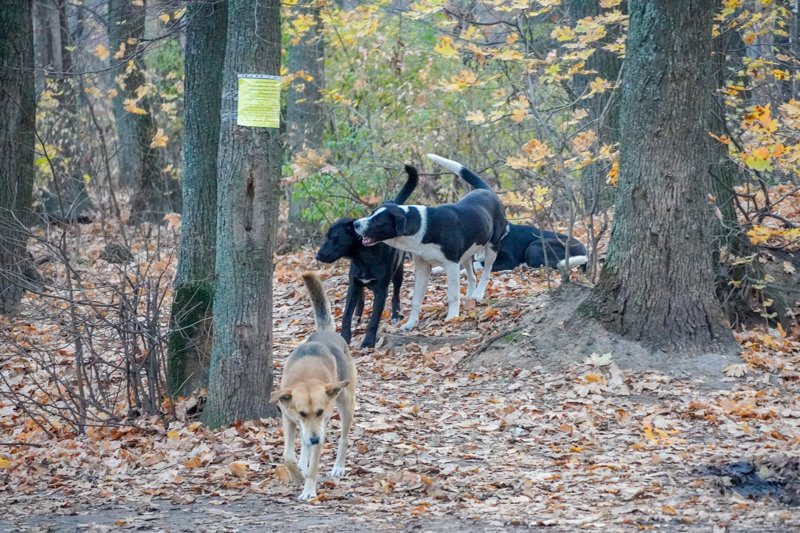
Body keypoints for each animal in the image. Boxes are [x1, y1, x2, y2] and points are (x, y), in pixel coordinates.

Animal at [268, 272, 356, 500]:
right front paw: (297, 474)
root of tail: (327, 332)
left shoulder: (320, 425)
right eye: (302, 413)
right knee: (304, 443)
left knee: (343, 438)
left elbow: (314, 465)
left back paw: (338, 466)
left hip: (346, 403)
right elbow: (287, 455)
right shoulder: (289, 419)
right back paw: (303, 460)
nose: (316, 439)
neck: (306, 378)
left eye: (320, 411)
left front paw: (308, 489)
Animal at [318, 167, 422, 350]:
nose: (317, 256)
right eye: (327, 236)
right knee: (361, 299)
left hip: (398, 273)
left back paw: (395, 314)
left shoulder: (381, 290)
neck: (364, 257)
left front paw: (368, 341)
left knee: (396, 294)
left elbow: (374, 319)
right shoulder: (353, 284)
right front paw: (345, 337)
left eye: (333, 237)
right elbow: (346, 314)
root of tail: (391, 203)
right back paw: (358, 317)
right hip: (356, 282)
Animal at [352, 152, 504, 330]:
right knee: (472, 275)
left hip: (492, 247)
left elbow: (453, 294)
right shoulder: (422, 267)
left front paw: (452, 317)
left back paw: (479, 294)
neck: (423, 226)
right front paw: (411, 323)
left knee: (486, 272)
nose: (355, 224)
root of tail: (486, 190)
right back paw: (470, 297)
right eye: (371, 213)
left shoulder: (451, 265)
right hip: (468, 253)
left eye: (378, 221)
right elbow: (416, 299)